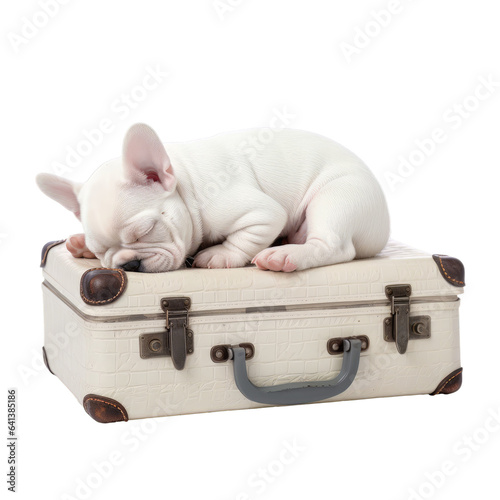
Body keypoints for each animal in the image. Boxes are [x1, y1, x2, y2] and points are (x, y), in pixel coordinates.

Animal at [38, 124, 390, 274]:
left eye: (145, 232)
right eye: (101, 251)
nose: (130, 264)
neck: (185, 183)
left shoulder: (259, 213)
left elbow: (245, 237)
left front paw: (220, 255)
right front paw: (80, 244)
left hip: (338, 198)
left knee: (334, 246)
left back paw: (285, 255)